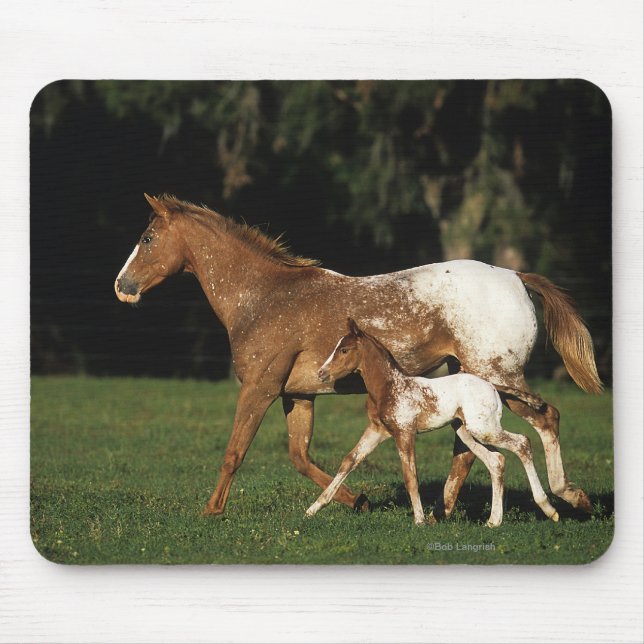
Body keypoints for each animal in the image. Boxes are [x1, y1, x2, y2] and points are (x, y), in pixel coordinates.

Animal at [307, 319, 560, 527]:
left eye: (344, 350)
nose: (320, 373)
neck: (390, 387)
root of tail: (492, 385)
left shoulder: (405, 433)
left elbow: (411, 477)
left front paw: (419, 520)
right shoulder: (377, 431)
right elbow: (349, 461)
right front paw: (314, 508)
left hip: (484, 429)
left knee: (522, 443)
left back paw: (549, 509)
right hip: (466, 432)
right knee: (496, 461)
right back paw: (493, 521)